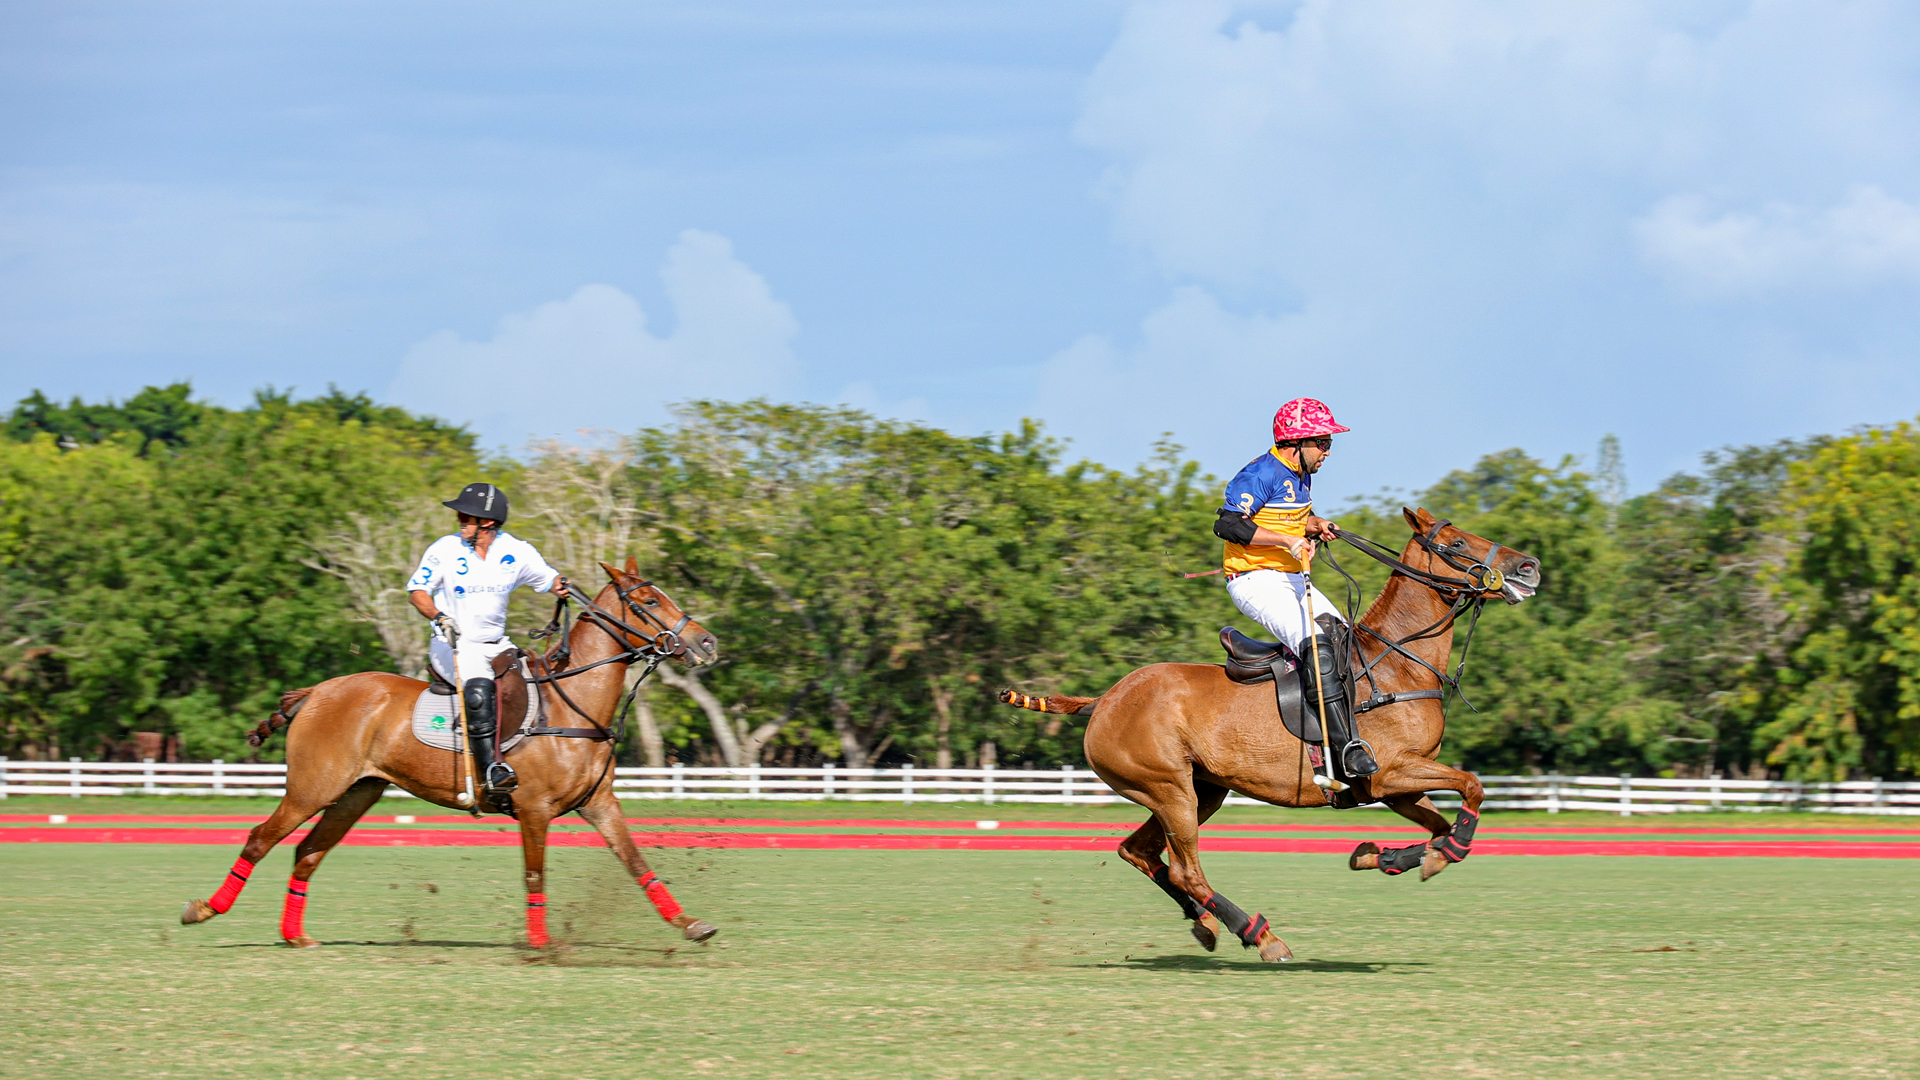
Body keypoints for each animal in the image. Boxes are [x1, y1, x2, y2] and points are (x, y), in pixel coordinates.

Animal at [181, 557, 721, 945]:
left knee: (307, 852)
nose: (707, 642)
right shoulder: (534, 809)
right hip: (312, 786)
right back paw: (202, 908)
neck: (571, 702)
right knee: (260, 838)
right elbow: (534, 875)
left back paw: (295, 935)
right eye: (648, 599)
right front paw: (539, 945)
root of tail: (315, 692)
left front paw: (693, 925)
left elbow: (635, 861)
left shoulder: (599, 804)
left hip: (357, 791)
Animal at [998, 507, 1536, 957]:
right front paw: (1441, 852)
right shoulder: (1389, 772)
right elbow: (1473, 785)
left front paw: (1382, 857)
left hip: (1199, 789)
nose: (1529, 567)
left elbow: (1441, 823)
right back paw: (1259, 935)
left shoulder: (1395, 786)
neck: (1397, 666)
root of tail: (1104, 700)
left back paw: (1205, 924)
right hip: (1169, 788)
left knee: (1140, 851)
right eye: (1457, 541)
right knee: (1186, 869)